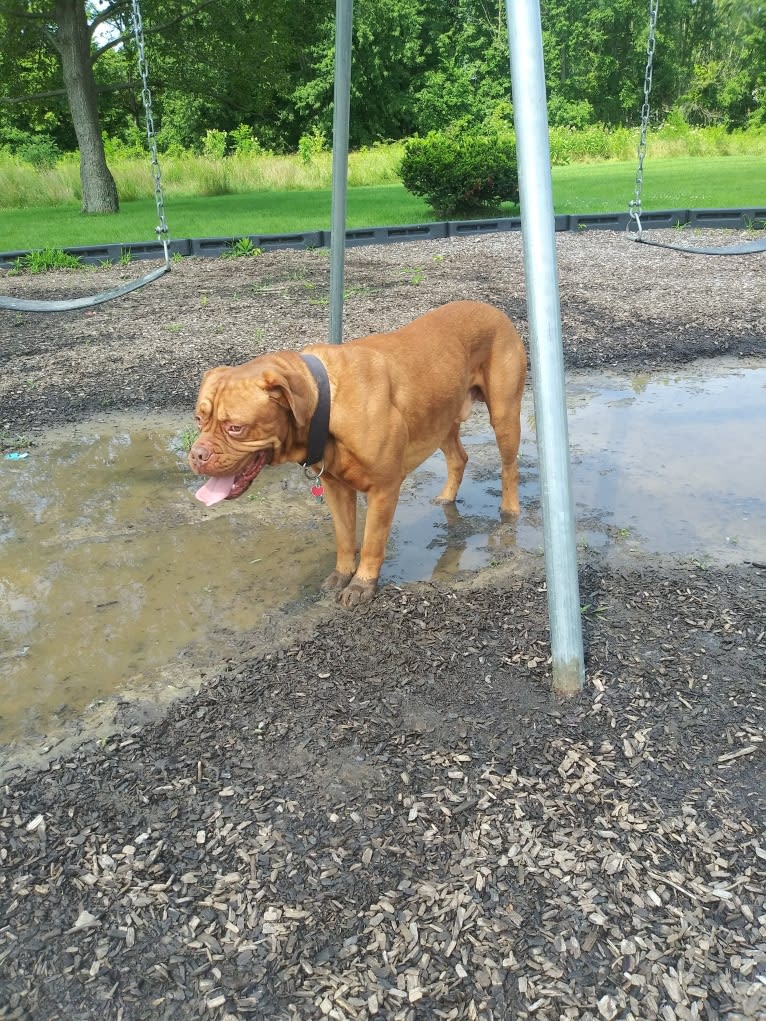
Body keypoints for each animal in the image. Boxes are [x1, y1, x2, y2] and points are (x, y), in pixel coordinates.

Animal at [190, 302, 527, 604]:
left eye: (235, 427)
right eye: (198, 418)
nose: (196, 455)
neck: (325, 402)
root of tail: (494, 309)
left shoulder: (383, 490)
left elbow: (371, 543)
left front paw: (362, 584)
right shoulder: (336, 488)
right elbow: (344, 538)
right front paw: (341, 575)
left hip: (504, 415)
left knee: (509, 466)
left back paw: (509, 511)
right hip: (441, 419)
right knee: (458, 457)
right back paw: (446, 497)